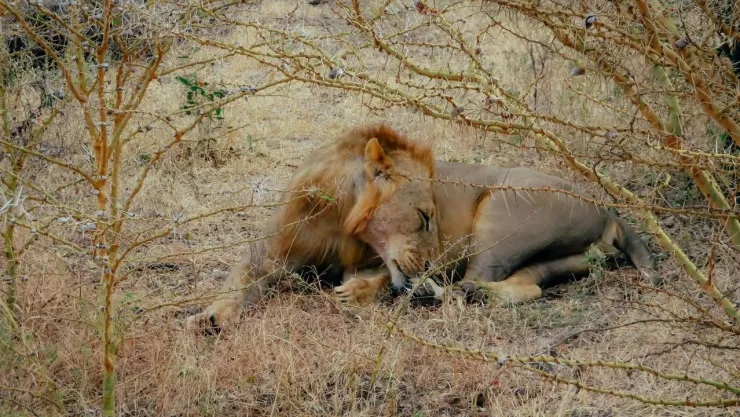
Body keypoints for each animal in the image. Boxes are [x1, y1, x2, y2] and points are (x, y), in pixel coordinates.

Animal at [187, 124, 658, 332]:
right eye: (424, 216)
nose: (431, 264)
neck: (339, 219)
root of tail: (609, 211)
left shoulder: (381, 260)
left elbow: (383, 276)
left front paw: (356, 292)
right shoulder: (269, 253)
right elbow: (236, 280)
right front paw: (211, 314)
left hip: (502, 206)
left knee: (464, 284)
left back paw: (434, 293)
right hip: (561, 258)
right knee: (527, 288)